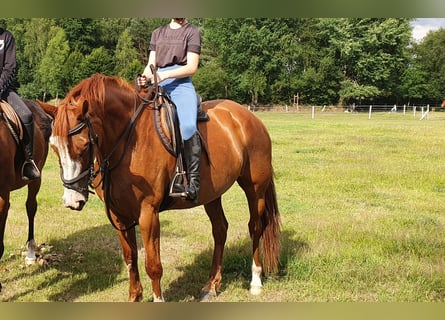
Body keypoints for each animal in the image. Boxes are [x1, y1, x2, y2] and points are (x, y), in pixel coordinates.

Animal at [39, 74, 280, 302]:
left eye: (84, 144)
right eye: (54, 147)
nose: (72, 200)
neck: (127, 143)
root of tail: (248, 116)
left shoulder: (148, 213)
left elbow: (153, 265)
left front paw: (158, 299)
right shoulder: (119, 216)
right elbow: (130, 259)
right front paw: (134, 297)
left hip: (255, 189)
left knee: (255, 227)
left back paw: (255, 281)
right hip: (212, 195)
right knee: (220, 230)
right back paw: (211, 286)